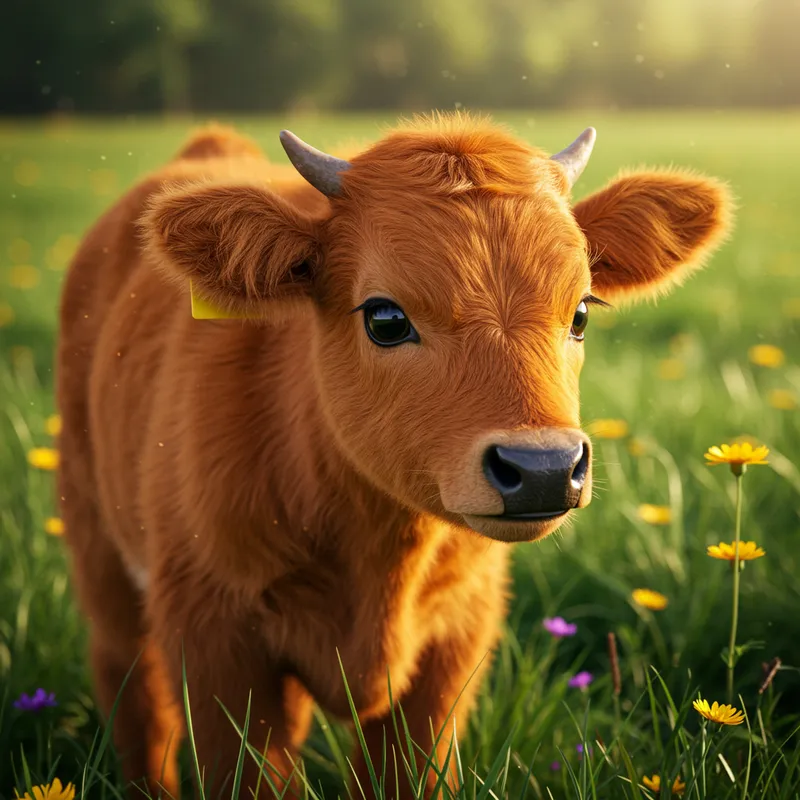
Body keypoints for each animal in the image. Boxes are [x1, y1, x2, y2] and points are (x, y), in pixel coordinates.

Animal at [56, 114, 731, 799]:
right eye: (385, 319)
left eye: (583, 313)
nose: (543, 469)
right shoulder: (215, 638)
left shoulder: (454, 643)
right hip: (97, 544)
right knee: (132, 684)